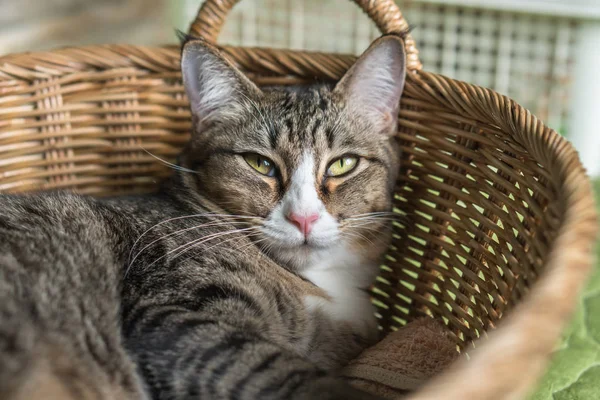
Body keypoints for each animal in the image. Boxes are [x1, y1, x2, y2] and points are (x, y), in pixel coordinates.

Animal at [0, 32, 408, 400]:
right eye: (260, 163)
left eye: (343, 164)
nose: (303, 218)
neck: (321, 280)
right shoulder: (174, 315)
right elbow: (280, 371)